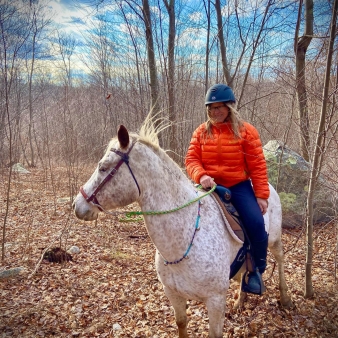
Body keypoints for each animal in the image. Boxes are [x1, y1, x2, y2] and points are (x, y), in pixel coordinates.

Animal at [73, 119, 294, 338]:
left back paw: (284, 299)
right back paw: (241, 300)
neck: (185, 237)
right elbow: (181, 323)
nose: (77, 205)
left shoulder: (215, 300)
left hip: (274, 240)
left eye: (103, 167)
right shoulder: (173, 294)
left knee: (280, 260)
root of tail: (269, 188)